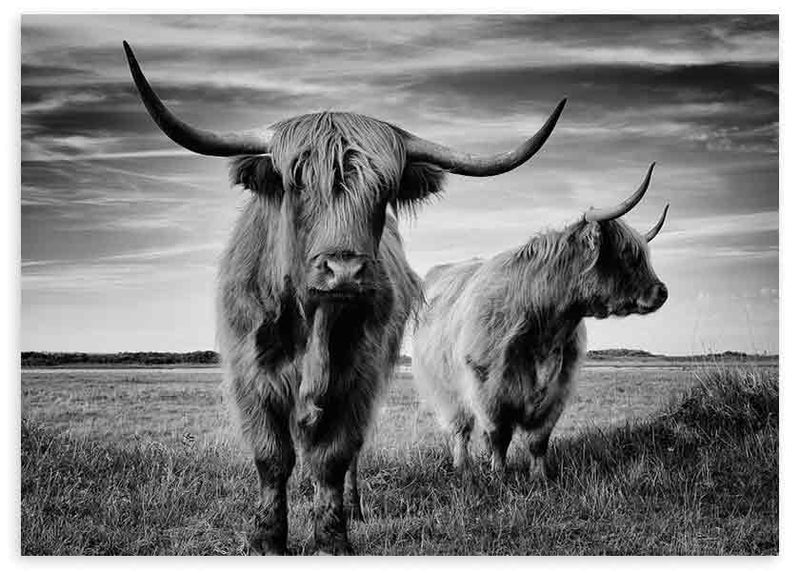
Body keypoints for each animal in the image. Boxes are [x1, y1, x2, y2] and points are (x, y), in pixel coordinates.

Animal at [123, 42, 566, 555]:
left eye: (384, 190)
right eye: (297, 184)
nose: (345, 270)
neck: (313, 322)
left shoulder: (358, 377)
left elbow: (332, 458)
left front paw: (332, 537)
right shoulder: (250, 375)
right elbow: (272, 457)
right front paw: (267, 538)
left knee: (350, 454)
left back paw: (353, 508)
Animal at [412, 163, 669, 481]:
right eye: (627, 254)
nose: (662, 291)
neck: (546, 327)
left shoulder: (558, 388)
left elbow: (538, 439)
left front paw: (540, 477)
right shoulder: (488, 388)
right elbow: (498, 436)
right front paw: (499, 475)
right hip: (444, 389)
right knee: (460, 428)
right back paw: (463, 467)